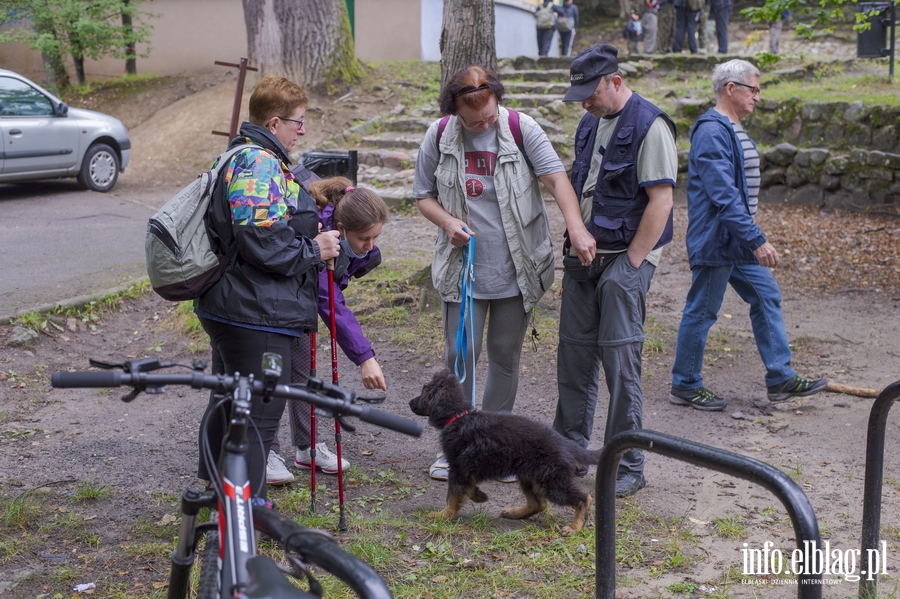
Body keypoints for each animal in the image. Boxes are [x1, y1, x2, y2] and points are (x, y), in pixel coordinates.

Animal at [412, 370, 600, 536]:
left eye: (423, 391)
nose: (409, 403)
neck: (459, 417)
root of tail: (566, 443)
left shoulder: (459, 469)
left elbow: (452, 497)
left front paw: (442, 516)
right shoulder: (467, 469)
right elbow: (467, 489)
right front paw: (480, 496)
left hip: (552, 482)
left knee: (584, 498)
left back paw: (574, 527)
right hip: (529, 476)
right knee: (538, 504)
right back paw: (514, 513)